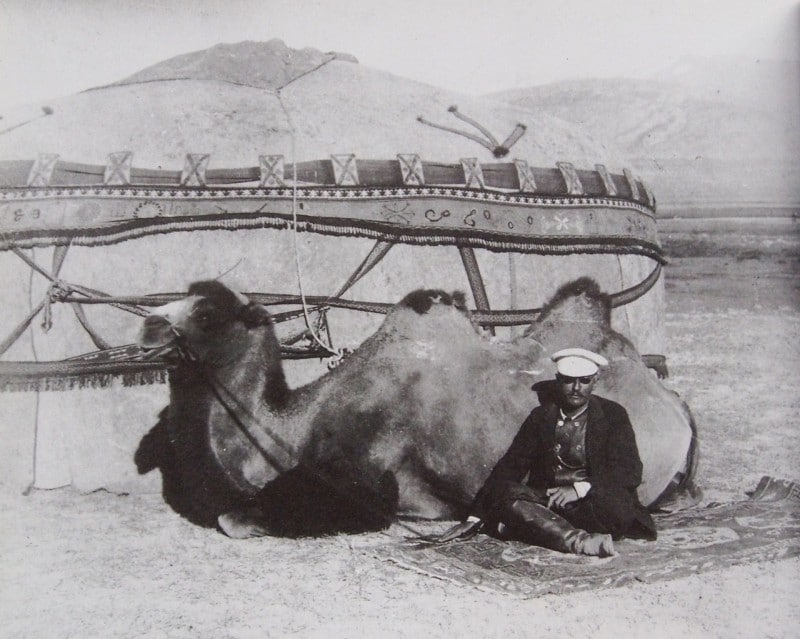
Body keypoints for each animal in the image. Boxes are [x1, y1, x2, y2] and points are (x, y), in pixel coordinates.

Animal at [138, 278, 700, 536]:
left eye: (206, 313)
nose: (147, 324)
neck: (293, 432)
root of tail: (673, 403)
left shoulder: (365, 488)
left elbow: (232, 518)